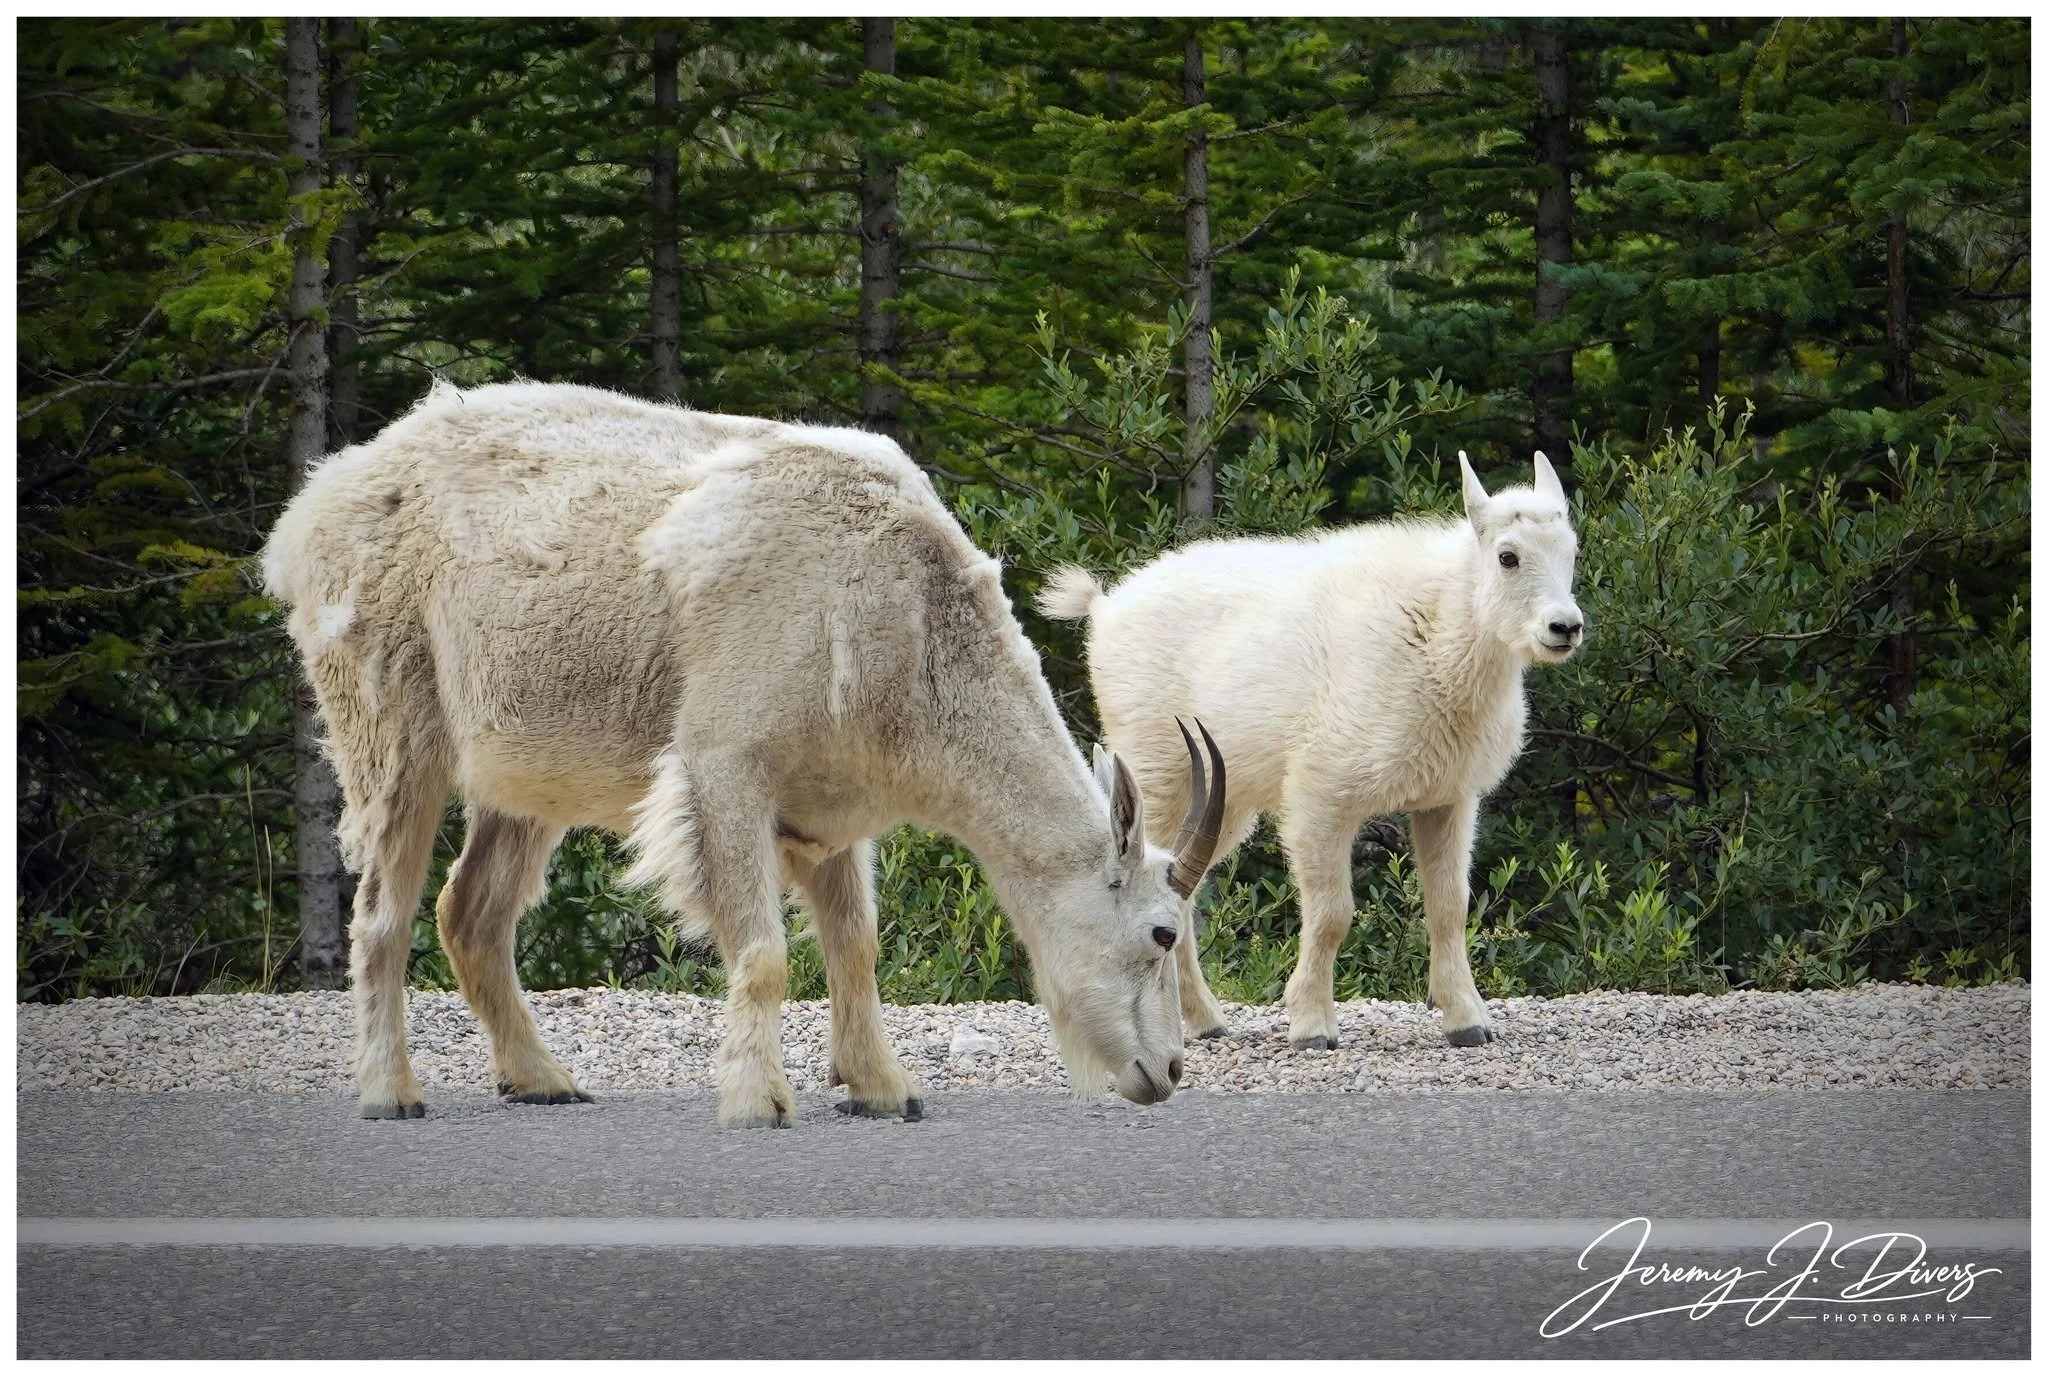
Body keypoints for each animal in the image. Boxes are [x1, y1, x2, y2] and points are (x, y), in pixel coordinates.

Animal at [262, 381, 1226, 1125]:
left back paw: (543, 1080)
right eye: (1161, 931)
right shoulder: (724, 766)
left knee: (472, 911)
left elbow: (855, 942)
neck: (905, 623)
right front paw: (758, 1101)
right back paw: (391, 1091)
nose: (1168, 1072)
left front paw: (883, 1090)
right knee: (381, 910)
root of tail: (311, 510)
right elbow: (762, 951)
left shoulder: (834, 803)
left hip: (528, 772)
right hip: (391, 720)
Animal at [1039, 453, 1582, 1049]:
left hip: (1222, 798)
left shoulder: (1447, 798)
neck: (1442, 634)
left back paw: (1205, 1021)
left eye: (1572, 551)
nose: (1565, 627)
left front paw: (1467, 1021)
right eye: (1508, 556)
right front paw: (1311, 1025)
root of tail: (1103, 607)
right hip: (1157, 774)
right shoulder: (1322, 795)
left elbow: (1449, 906)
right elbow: (1331, 914)